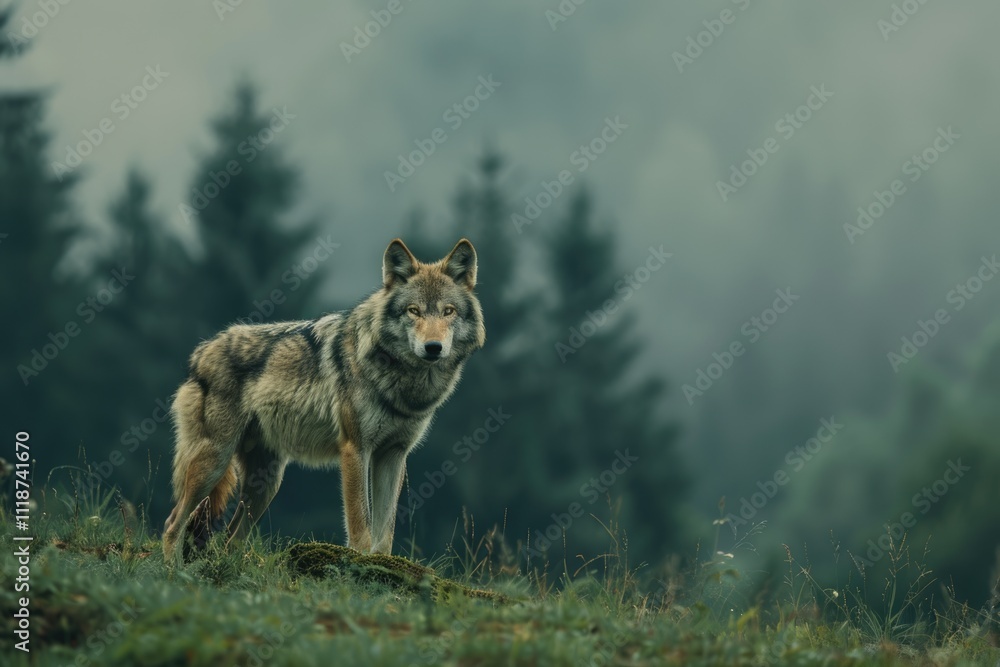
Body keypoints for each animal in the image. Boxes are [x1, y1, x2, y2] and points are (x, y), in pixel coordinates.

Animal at [162, 238, 485, 564]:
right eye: (414, 311)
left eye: (448, 311)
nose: (433, 347)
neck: (402, 382)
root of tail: (201, 351)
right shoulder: (355, 449)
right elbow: (361, 524)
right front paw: (360, 565)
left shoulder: (393, 455)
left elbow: (385, 531)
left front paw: (382, 564)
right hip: (214, 462)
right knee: (173, 522)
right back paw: (172, 569)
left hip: (266, 484)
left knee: (230, 539)